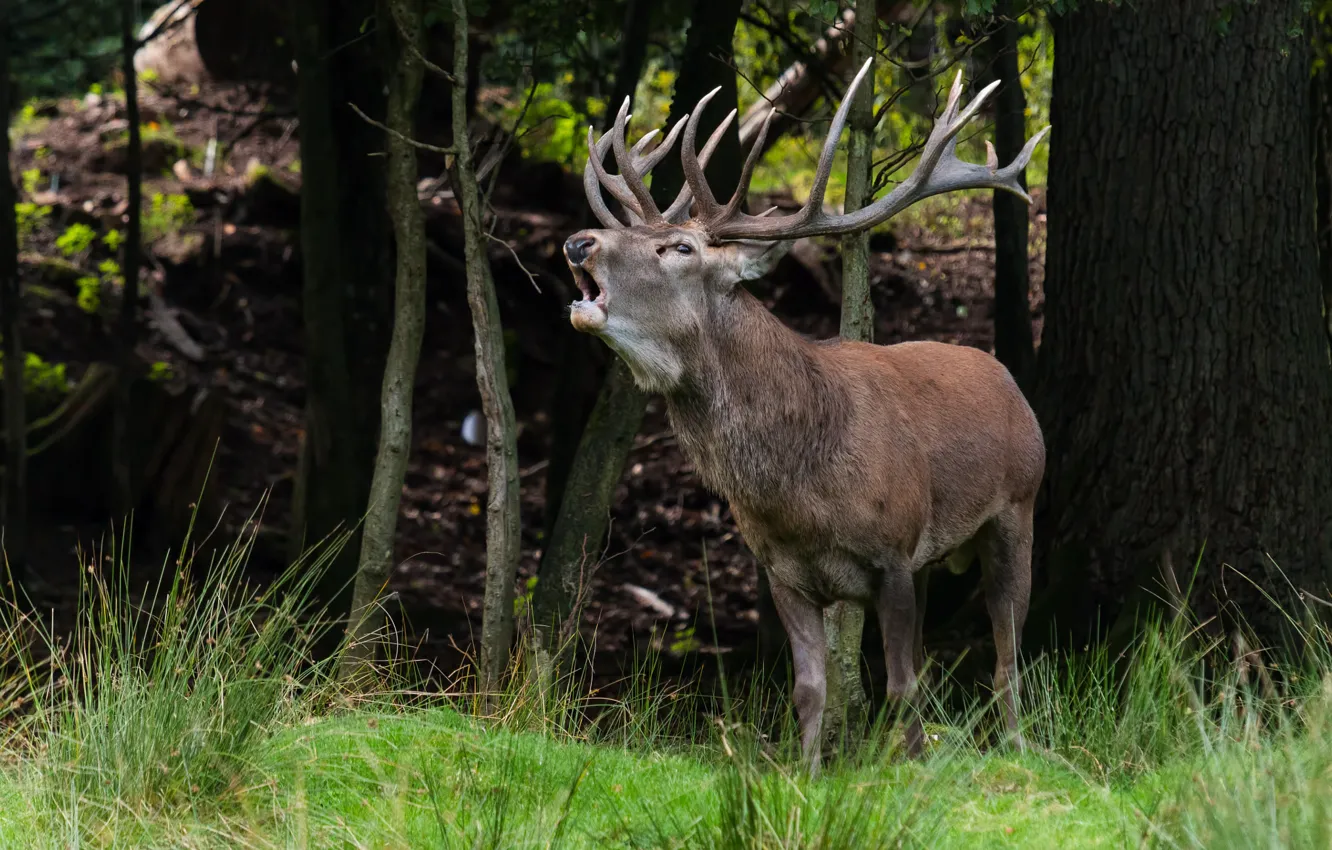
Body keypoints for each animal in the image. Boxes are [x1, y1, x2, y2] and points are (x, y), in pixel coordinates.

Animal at [562, 58, 1050, 773]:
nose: (579, 241)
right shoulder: (783, 572)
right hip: (937, 556)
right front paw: (809, 773)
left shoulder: (893, 552)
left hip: (1017, 507)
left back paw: (1015, 749)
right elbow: (811, 688)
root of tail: (1011, 383)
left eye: (679, 248)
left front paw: (909, 773)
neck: (801, 494)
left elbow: (899, 684)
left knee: (1006, 656)